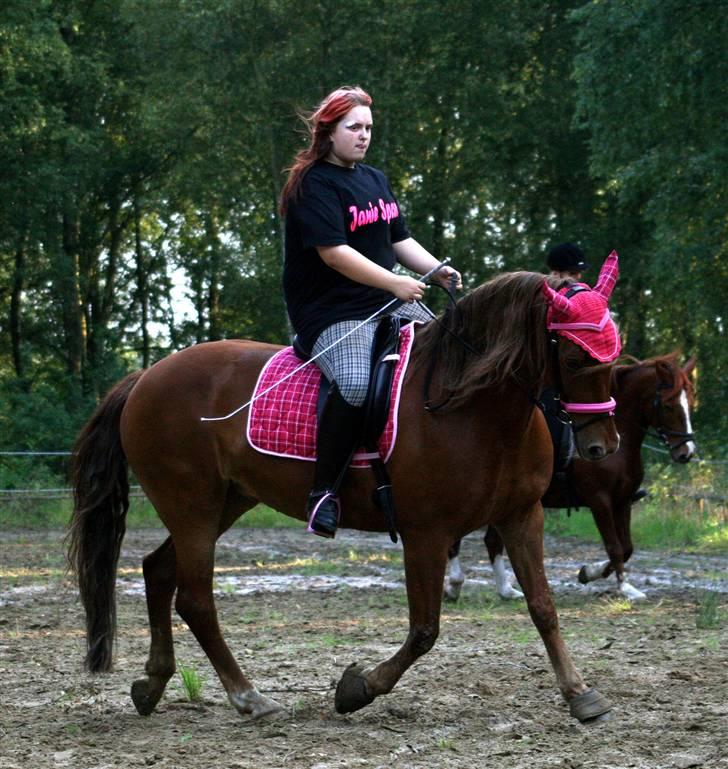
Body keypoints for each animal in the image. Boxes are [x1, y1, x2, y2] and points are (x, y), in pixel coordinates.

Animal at [69, 260, 620, 724]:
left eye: (615, 354)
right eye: (575, 356)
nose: (603, 445)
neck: (473, 406)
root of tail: (146, 376)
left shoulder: (521, 516)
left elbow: (543, 607)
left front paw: (580, 694)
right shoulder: (427, 533)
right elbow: (425, 630)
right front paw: (357, 689)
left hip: (225, 501)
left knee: (158, 572)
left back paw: (153, 684)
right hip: (192, 507)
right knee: (196, 600)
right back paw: (249, 697)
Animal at [446, 352, 696, 600]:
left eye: (691, 404)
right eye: (668, 406)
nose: (687, 452)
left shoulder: (622, 500)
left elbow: (626, 547)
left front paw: (589, 572)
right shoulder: (600, 501)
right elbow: (614, 546)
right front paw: (625, 588)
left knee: (492, 541)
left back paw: (506, 590)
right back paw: (455, 584)